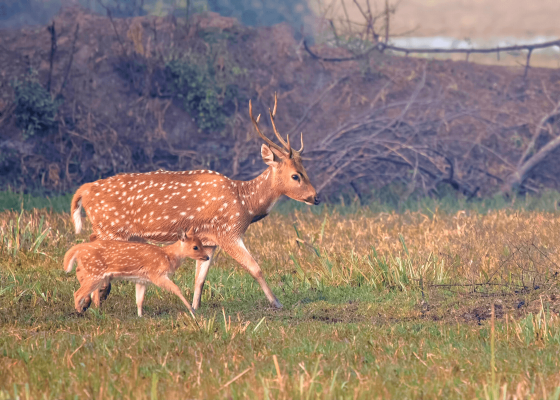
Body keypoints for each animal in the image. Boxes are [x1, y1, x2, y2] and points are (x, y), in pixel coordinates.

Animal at [63, 228, 208, 316]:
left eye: (202, 243)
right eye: (195, 247)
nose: (207, 257)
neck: (167, 256)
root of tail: (78, 249)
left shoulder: (141, 280)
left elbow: (139, 300)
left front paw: (140, 316)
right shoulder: (156, 275)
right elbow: (177, 289)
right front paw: (192, 311)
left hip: (93, 274)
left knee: (89, 292)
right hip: (94, 274)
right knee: (78, 293)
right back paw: (80, 312)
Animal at [71, 94, 320, 310]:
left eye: (305, 170)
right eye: (295, 176)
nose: (316, 197)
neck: (245, 203)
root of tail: (85, 189)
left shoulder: (209, 241)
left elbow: (200, 279)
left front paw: (194, 307)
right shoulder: (228, 231)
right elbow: (255, 267)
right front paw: (277, 303)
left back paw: (91, 300)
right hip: (111, 227)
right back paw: (93, 301)